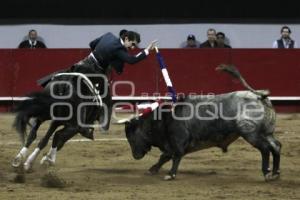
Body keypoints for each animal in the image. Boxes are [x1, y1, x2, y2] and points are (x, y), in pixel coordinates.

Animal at [125, 65, 282, 181]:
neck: (164, 119)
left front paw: (170, 174)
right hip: (267, 133)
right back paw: (275, 173)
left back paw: (267, 173)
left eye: (131, 137)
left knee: (265, 149)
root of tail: (258, 95)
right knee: (276, 146)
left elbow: (174, 156)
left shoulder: (178, 141)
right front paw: (153, 169)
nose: (135, 156)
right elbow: (164, 157)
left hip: (250, 133)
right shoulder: (171, 144)